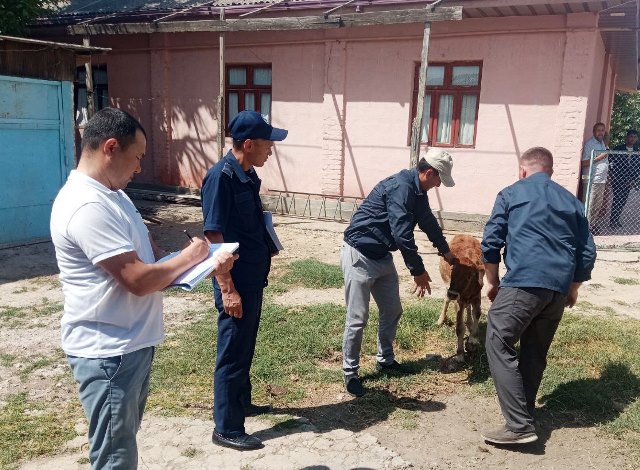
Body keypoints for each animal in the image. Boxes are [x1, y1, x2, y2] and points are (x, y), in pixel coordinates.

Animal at [440, 233, 484, 362]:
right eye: (452, 271)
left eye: (469, 276)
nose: (453, 293)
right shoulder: (458, 301)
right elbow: (459, 327)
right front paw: (459, 354)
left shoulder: (477, 296)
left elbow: (477, 313)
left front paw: (473, 338)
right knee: (446, 300)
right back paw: (441, 319)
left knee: (468, 308)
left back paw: (469, 322)